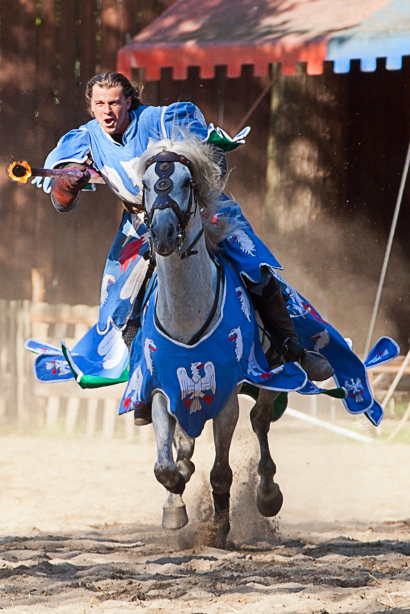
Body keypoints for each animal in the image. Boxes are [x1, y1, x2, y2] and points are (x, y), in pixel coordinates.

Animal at [125, 134, 294, 544]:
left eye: (187, 182)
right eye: (147, 184)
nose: (163, 233)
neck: (186, 312)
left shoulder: (226, 395)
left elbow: (221, 471)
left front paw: (218, 530)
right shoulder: (161, 388)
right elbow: (165, 466)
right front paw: (174, 503)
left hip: (269, 375)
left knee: (260, 421)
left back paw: (267, 492)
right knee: (186, 441)